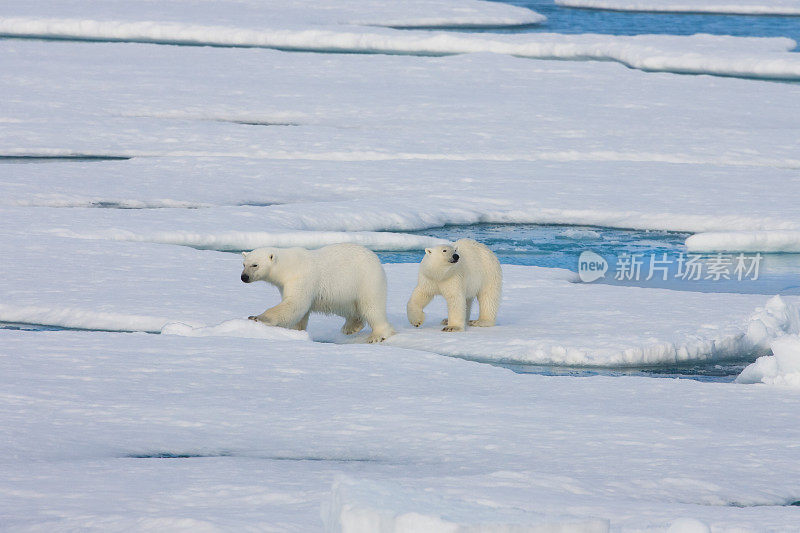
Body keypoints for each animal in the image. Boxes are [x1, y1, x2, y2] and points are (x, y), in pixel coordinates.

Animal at [242, 243, 396, 342]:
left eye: (255, 265)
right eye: (243, 264)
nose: (244, 277)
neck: (288, 267)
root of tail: (376, 259)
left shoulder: (302, 278)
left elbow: (294, 304)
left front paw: (256, 317)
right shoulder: (285, 284)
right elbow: (300, 312)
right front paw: (296, 332)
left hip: (366, 280)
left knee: (372, 307)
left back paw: (377, 335)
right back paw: (351, 327)